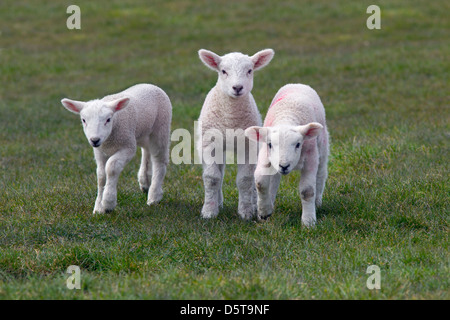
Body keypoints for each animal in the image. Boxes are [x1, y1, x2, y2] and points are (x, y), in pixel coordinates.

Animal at [60, 84, 171, 214]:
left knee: (159, 160)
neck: (109, 141)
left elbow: (111, 167)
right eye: (83, 120)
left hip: (161, 127)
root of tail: (150, 85)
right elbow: (101, 175)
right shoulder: (99, 151)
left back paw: (154, 196)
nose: (94, 140)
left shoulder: (127, 147)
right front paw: (98, 207)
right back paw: (145, 182)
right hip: (142, 133)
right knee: (146, 151)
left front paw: (108, 202)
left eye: (108, 119)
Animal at [197, 48, 274, 220]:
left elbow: (245, 179)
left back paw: (253, 203)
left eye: (250, 70)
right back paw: (218, 202)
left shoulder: (248, 146)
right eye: (223, 71)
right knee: (218, 173)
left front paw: (245, 212)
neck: (230, 120)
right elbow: (212, 178)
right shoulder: (209, 144)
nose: (237, 87)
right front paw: (209, 211)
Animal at [244, 84, 328, 226]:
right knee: (274, 180)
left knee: (321, 173)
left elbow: (307, 191)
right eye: (270, 144)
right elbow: (261, 183)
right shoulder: (265, 155)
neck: (287, 117)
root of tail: (298, 84)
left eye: (298, 144)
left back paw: (317, 202)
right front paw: (264, 212)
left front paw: (308, 221)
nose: (284, 166)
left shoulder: (310, 157)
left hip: (322, 147)